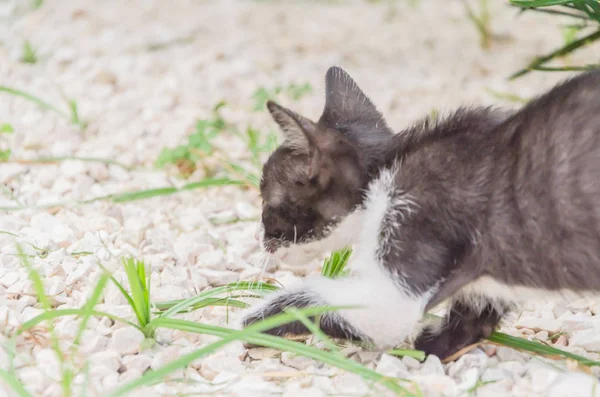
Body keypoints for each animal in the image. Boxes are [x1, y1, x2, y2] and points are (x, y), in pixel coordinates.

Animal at [240, 65, 600, 358]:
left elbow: (323, 299)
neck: (387, 168)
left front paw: (253, 320)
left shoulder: (413, 218)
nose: (259, 239)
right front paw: (435, 347)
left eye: (267, 207)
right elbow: (477, 312)